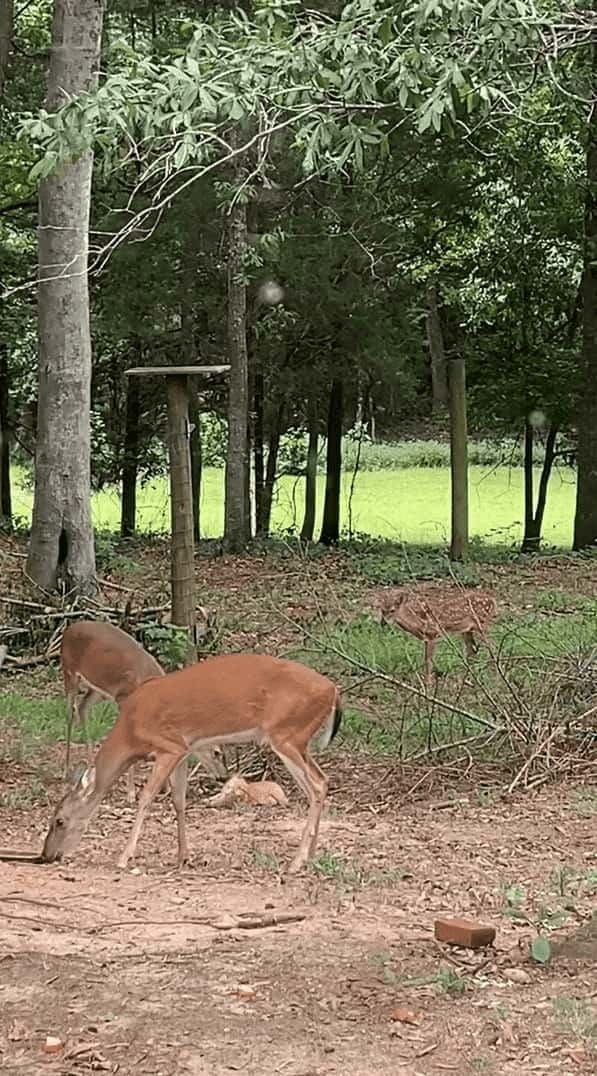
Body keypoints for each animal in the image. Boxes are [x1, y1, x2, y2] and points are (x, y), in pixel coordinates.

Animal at [41, 649, 344, 869]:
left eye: (59, 820)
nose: (46, 855)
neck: (131, 732)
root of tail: (334, 692)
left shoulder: (168, 746)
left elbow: (146, 797)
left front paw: (124, 857)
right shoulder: (184, 751)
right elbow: (179, 801)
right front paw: (182, 856)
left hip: (286, 734)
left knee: (317, 783)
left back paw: (296, 861)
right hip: (298, 739)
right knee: (320, 783)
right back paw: (311, 855)